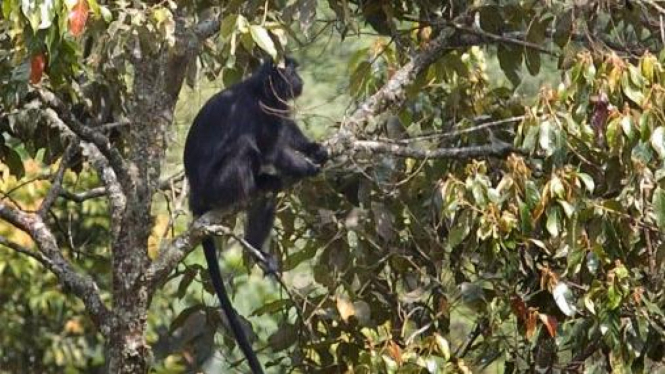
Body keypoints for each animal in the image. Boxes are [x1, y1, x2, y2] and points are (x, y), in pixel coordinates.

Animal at [182, 56, 326, 374]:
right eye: (291, 70)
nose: (298, 79)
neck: (258, 91)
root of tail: (196, 197)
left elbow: (287, 131)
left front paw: (313, 148)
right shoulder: (259, 112)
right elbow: (272, 149)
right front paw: (307, 166)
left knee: (266, 194)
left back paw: (257, 246)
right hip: (219, 186)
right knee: (246, 148)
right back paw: (260, 182)